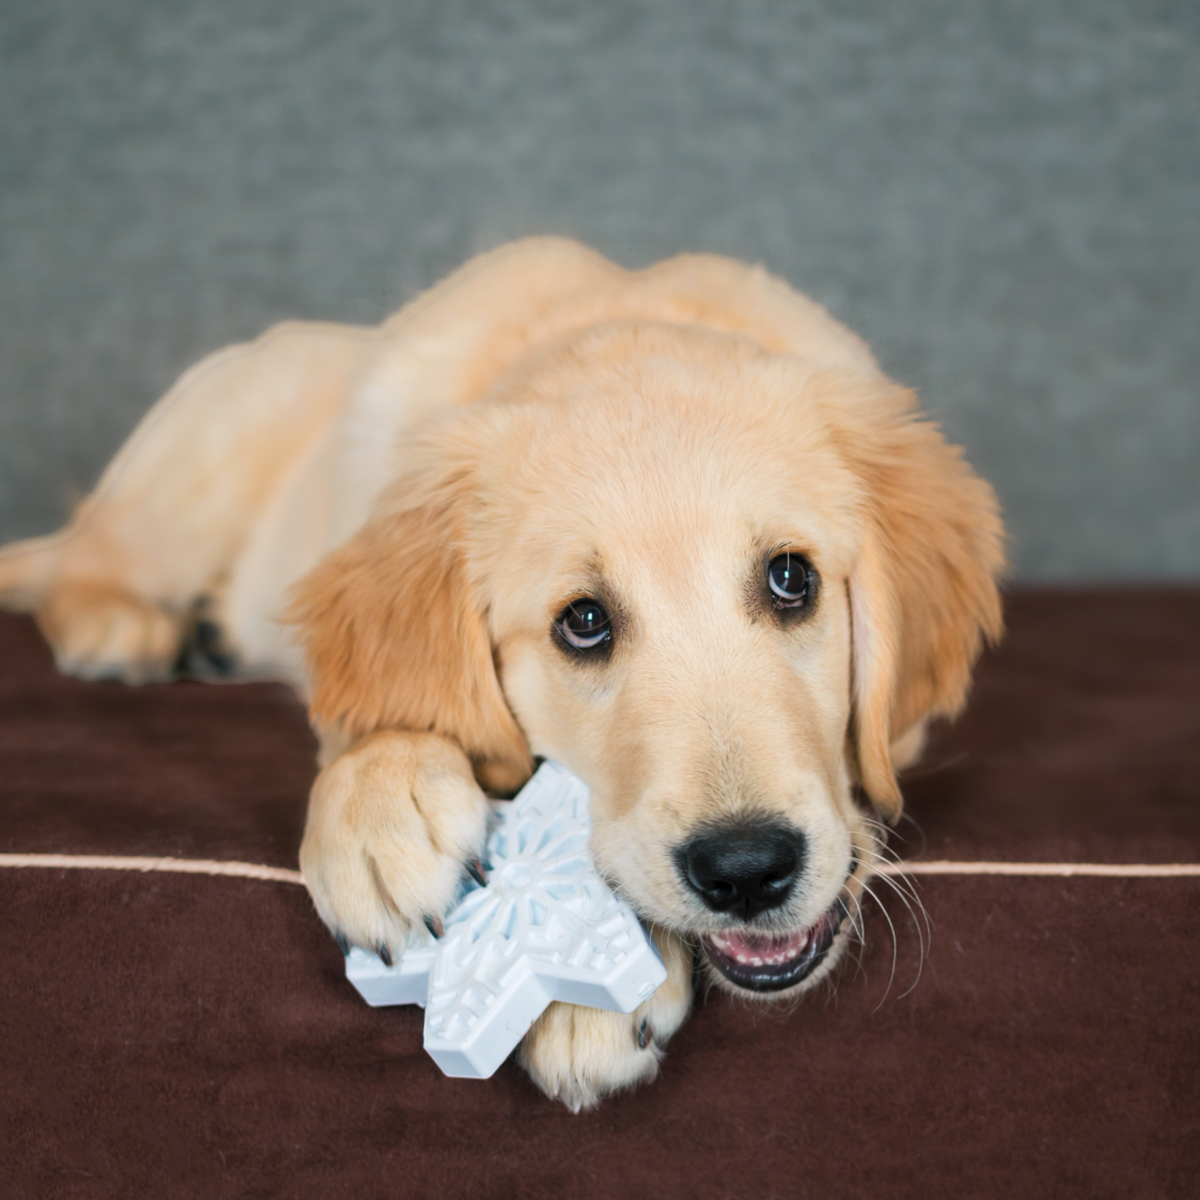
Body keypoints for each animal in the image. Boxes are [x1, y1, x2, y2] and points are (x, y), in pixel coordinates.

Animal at [0, 238, 1003, 1108]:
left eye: (792, 579)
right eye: (584, 623)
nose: (747, 870)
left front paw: (581, 997)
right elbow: (384, 712)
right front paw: (383, 805)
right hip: (193, 471)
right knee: (82, 555)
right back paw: (125, 627)